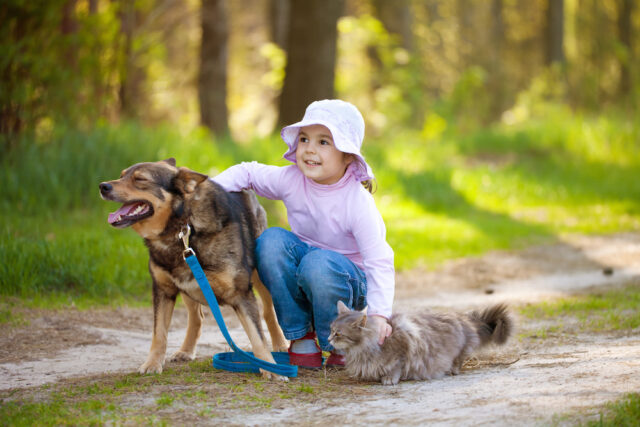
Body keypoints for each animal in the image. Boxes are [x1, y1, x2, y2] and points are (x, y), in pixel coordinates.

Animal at [99, 159, 288, 380]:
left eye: (140, 179)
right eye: (121, 176)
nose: (103, 186)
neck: (183, 227)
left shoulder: (240, 293)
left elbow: (257, 336)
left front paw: (270, 368)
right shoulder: (163, 290)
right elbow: (159, 333)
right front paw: (153, 363)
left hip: (259, 276)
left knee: (268, 312)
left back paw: (280, 344)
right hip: (188, 285)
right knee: (196, 318)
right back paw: (186, 350)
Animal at [330, 300, 516, 388]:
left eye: (338, 334)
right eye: (331, 329)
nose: (328, 339)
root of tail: (465, 318)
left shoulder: (402, 351)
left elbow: (394, 368)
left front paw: (389, 379)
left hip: (460, 348)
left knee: (459, 359)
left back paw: (453, 370)